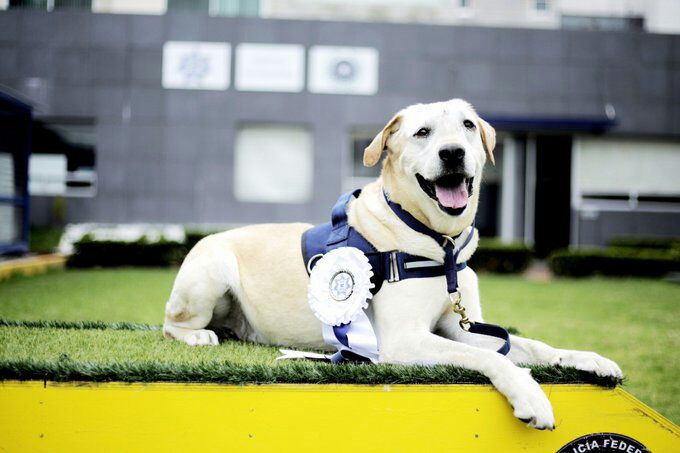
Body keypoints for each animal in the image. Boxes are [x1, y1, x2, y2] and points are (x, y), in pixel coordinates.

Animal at [163, 98, 622, 430]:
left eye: (467, 126)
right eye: (422, 132)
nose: (453, 153)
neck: (440, 244)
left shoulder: (463, 325)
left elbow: (533, 347)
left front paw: (590, 359)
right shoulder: (405, 340)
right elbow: (495, 359)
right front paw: (530, 396)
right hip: (209, 273)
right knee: (172, 325)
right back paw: (198, 335)